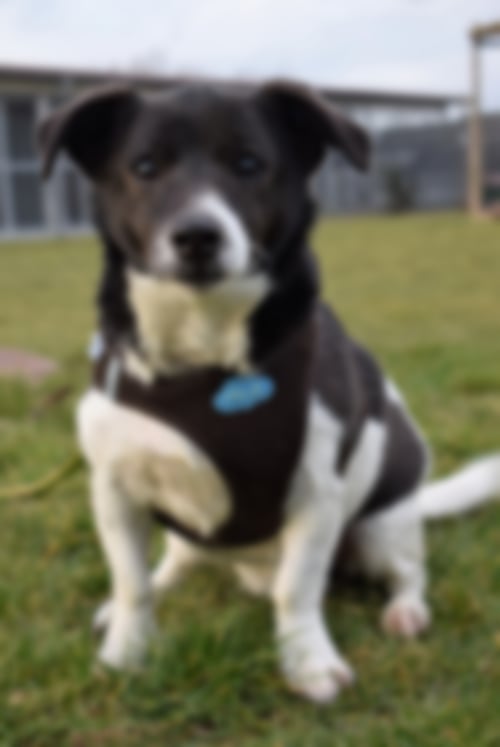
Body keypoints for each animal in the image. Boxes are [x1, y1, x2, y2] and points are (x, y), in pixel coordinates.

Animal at [39, 79, 500, 704]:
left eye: (249, 164)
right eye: (145, 167)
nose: (197, 236)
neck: (203, 356)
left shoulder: (317, 497)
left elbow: (296, 589)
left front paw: (307, 661)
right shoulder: (114, 489)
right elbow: (133, 582)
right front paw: (127, 651)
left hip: (381, 527)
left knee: (409, 572)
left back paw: (405, 612)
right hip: (188, 531)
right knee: (176, 562)